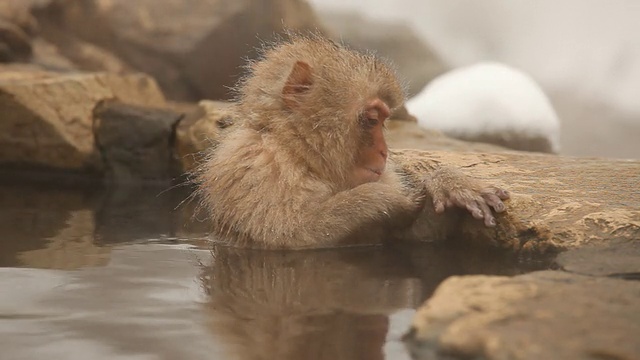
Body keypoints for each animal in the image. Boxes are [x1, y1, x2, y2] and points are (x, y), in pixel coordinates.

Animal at [195, 34, 510, 248]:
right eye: (371, 120)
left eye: (383, 121)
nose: (384, 152)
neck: (300, 154)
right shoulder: (255, 170)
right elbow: (290, 237)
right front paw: (379, 198)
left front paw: (448, 184)